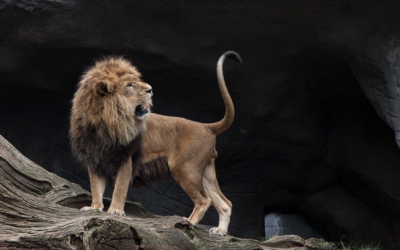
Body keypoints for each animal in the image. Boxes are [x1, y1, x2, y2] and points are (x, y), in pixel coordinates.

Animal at [69, 51, 241, 236]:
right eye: (130, 85)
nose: (150, 89)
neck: (103, 122)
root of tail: (206, 126)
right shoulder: (95, 158)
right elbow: (95, 187)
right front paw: (95, 208)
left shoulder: (126, 159)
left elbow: (120, 188)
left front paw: (115, 211)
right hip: (204, 171)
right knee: (225, 203)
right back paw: (220, 231)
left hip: (185, 168)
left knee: (204, 200)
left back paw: (188, 223)